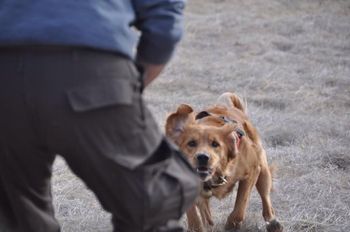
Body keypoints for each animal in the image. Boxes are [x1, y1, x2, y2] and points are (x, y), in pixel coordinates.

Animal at [165, 92, 284, 232]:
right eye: (191, 143)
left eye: (215, 144)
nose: (202, 157)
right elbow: (194, 215)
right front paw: (197, 226)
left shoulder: (252, 171)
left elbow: (240, 206)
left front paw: (231, 225)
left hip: (263, 172)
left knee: (266, 198)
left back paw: (273, 223)